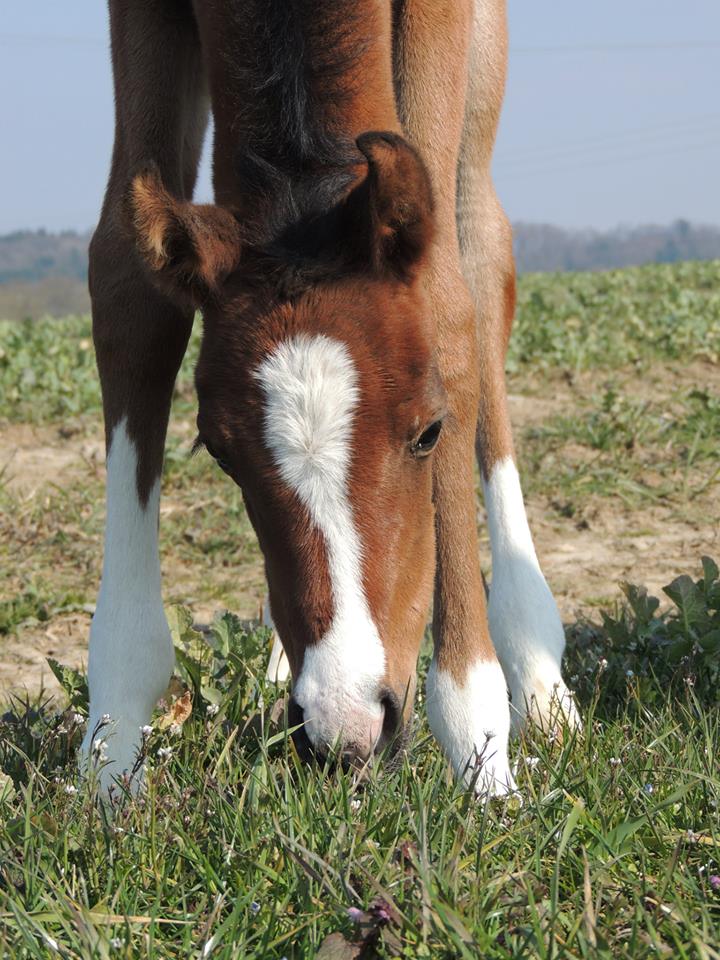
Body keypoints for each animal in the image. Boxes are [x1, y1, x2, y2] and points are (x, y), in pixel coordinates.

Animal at [84, 0, 580, 796]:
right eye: (219, 452)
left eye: (430, 431)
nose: (347, 731)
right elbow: (130, 288)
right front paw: (108, 754)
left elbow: (448, 298)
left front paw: (479, 742)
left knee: (478, 239)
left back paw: (536, 676)